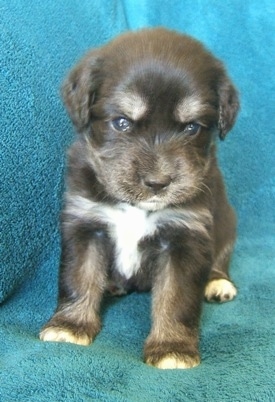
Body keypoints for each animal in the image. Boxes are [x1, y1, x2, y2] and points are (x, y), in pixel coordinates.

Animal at [40, 26, 240, 370]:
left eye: (192, 128)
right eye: (122, 122)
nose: (158, 183)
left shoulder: (185, 237)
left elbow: (176, 298)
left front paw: (172, 348)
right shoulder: (85, 224)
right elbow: (78, 277)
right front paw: (70, 326)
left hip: (227, 224)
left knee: (220, 261)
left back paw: (217, 284)